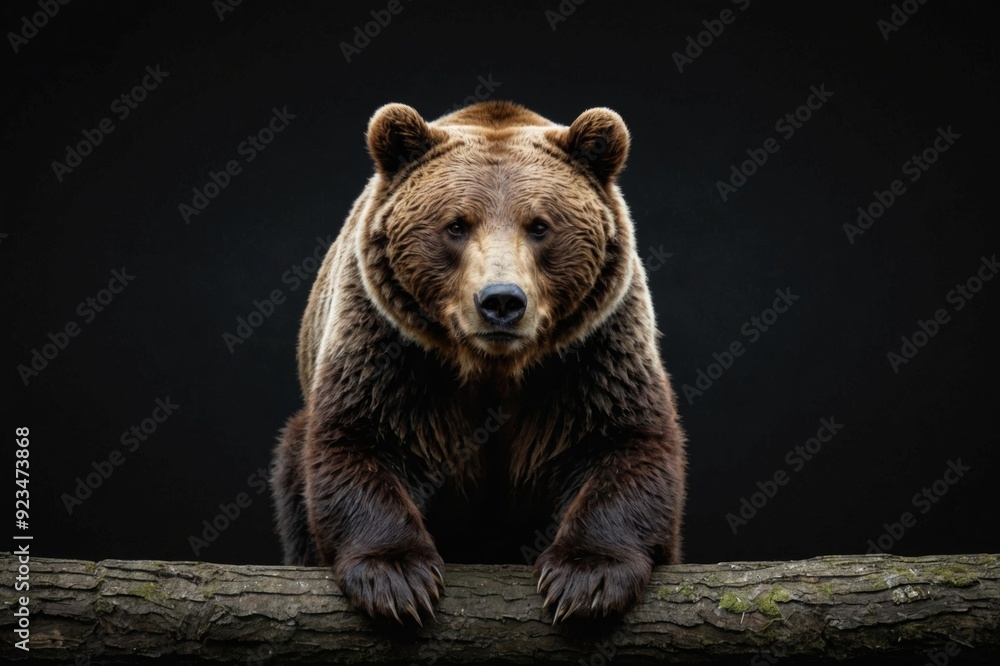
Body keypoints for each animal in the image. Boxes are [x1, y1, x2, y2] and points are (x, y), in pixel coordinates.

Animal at [270, 100, 686, 625]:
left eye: (540, 225)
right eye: (456, 225)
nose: (502, 301)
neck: (493, 365)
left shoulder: (593, 350)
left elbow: (624, 442)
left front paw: (586, 577)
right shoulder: (388, 345)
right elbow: (359, 439)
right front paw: (398, 578)